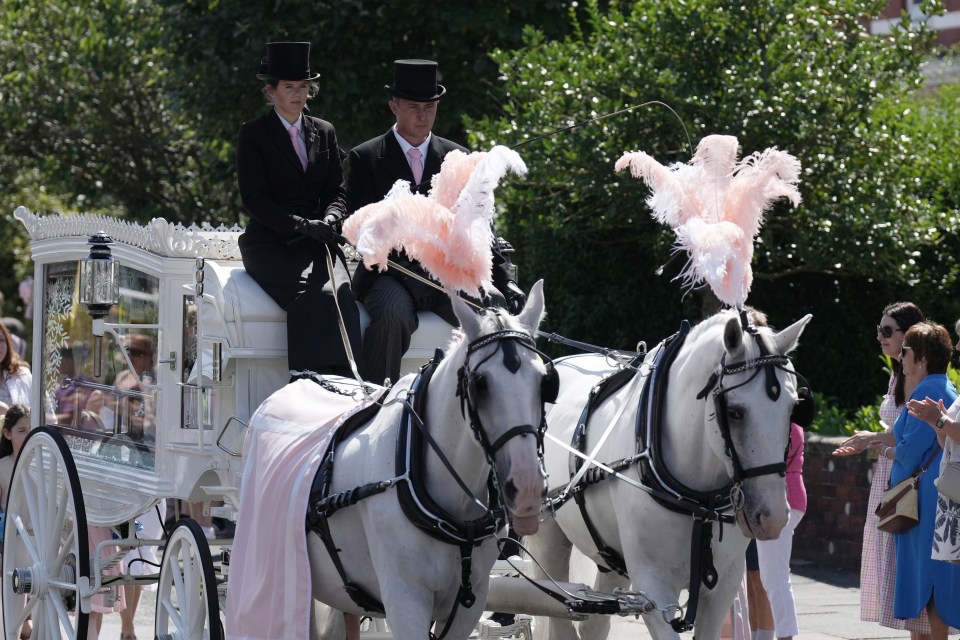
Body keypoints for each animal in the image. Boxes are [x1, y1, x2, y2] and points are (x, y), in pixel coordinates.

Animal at [528, 308, 812, 640]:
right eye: (735, 412)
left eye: (793, 409)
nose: (772, 518)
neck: (699, 502)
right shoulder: (653, 587)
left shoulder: (723, 584)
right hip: (548, 539)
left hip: (612, 559)